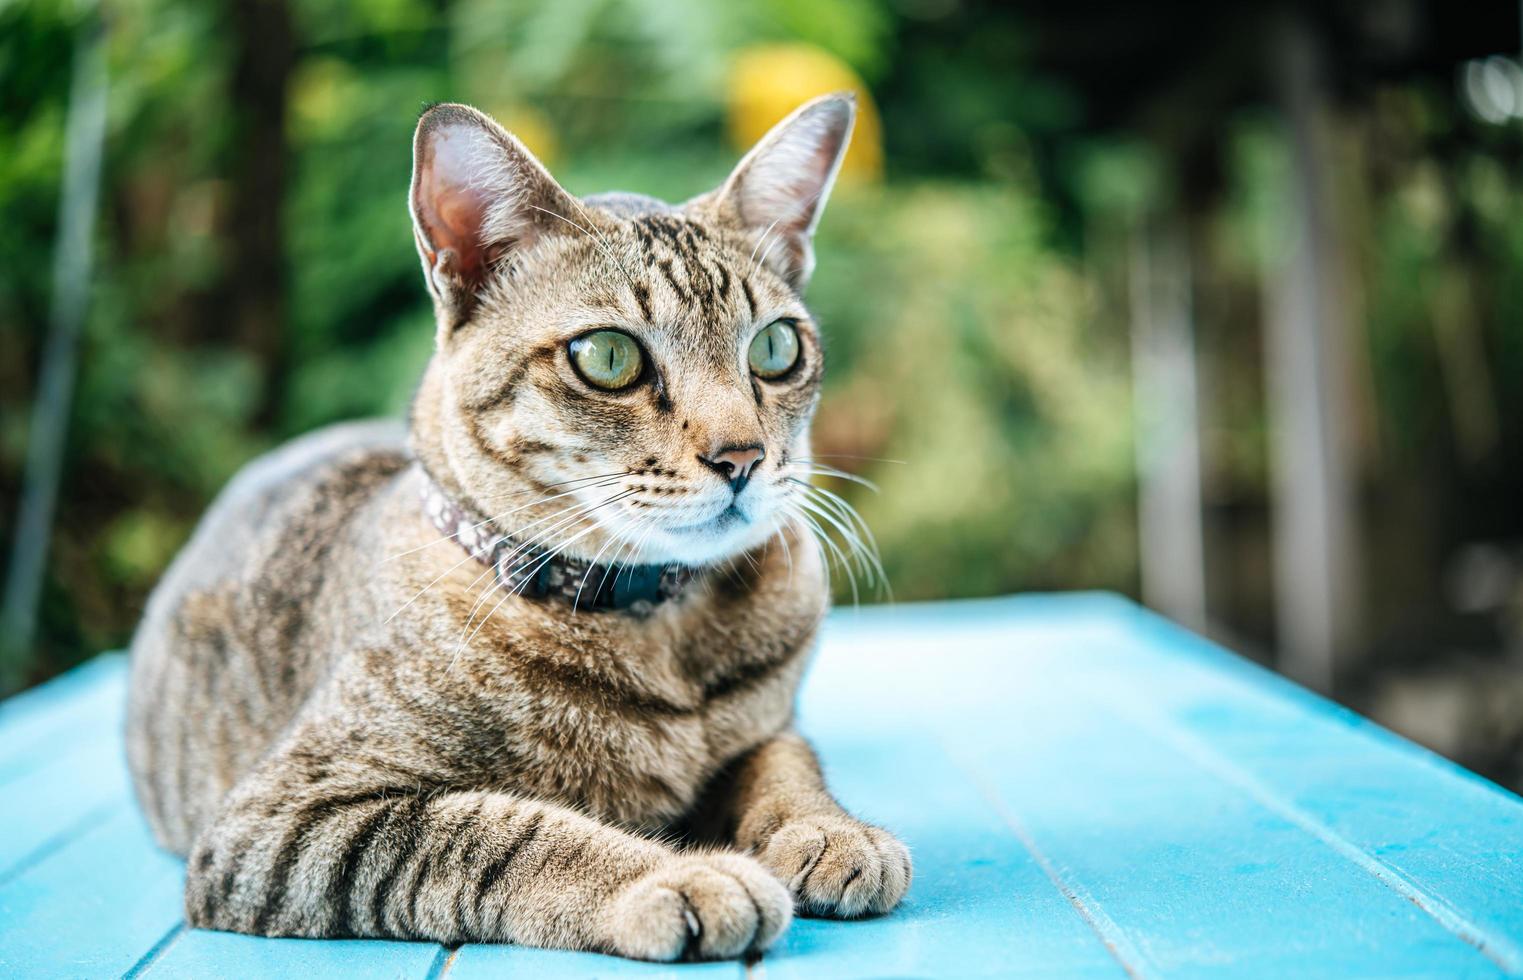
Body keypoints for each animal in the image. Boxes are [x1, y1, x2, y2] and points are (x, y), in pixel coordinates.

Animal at [124, 96, 907, 963]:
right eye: (608, 357)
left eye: (775, 346)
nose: (742, 455)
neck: (657, 631)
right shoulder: (285, 819)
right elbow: (505, 834)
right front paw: (678, 874)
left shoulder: (768, 729)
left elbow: (786, 765)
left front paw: (829, 830)